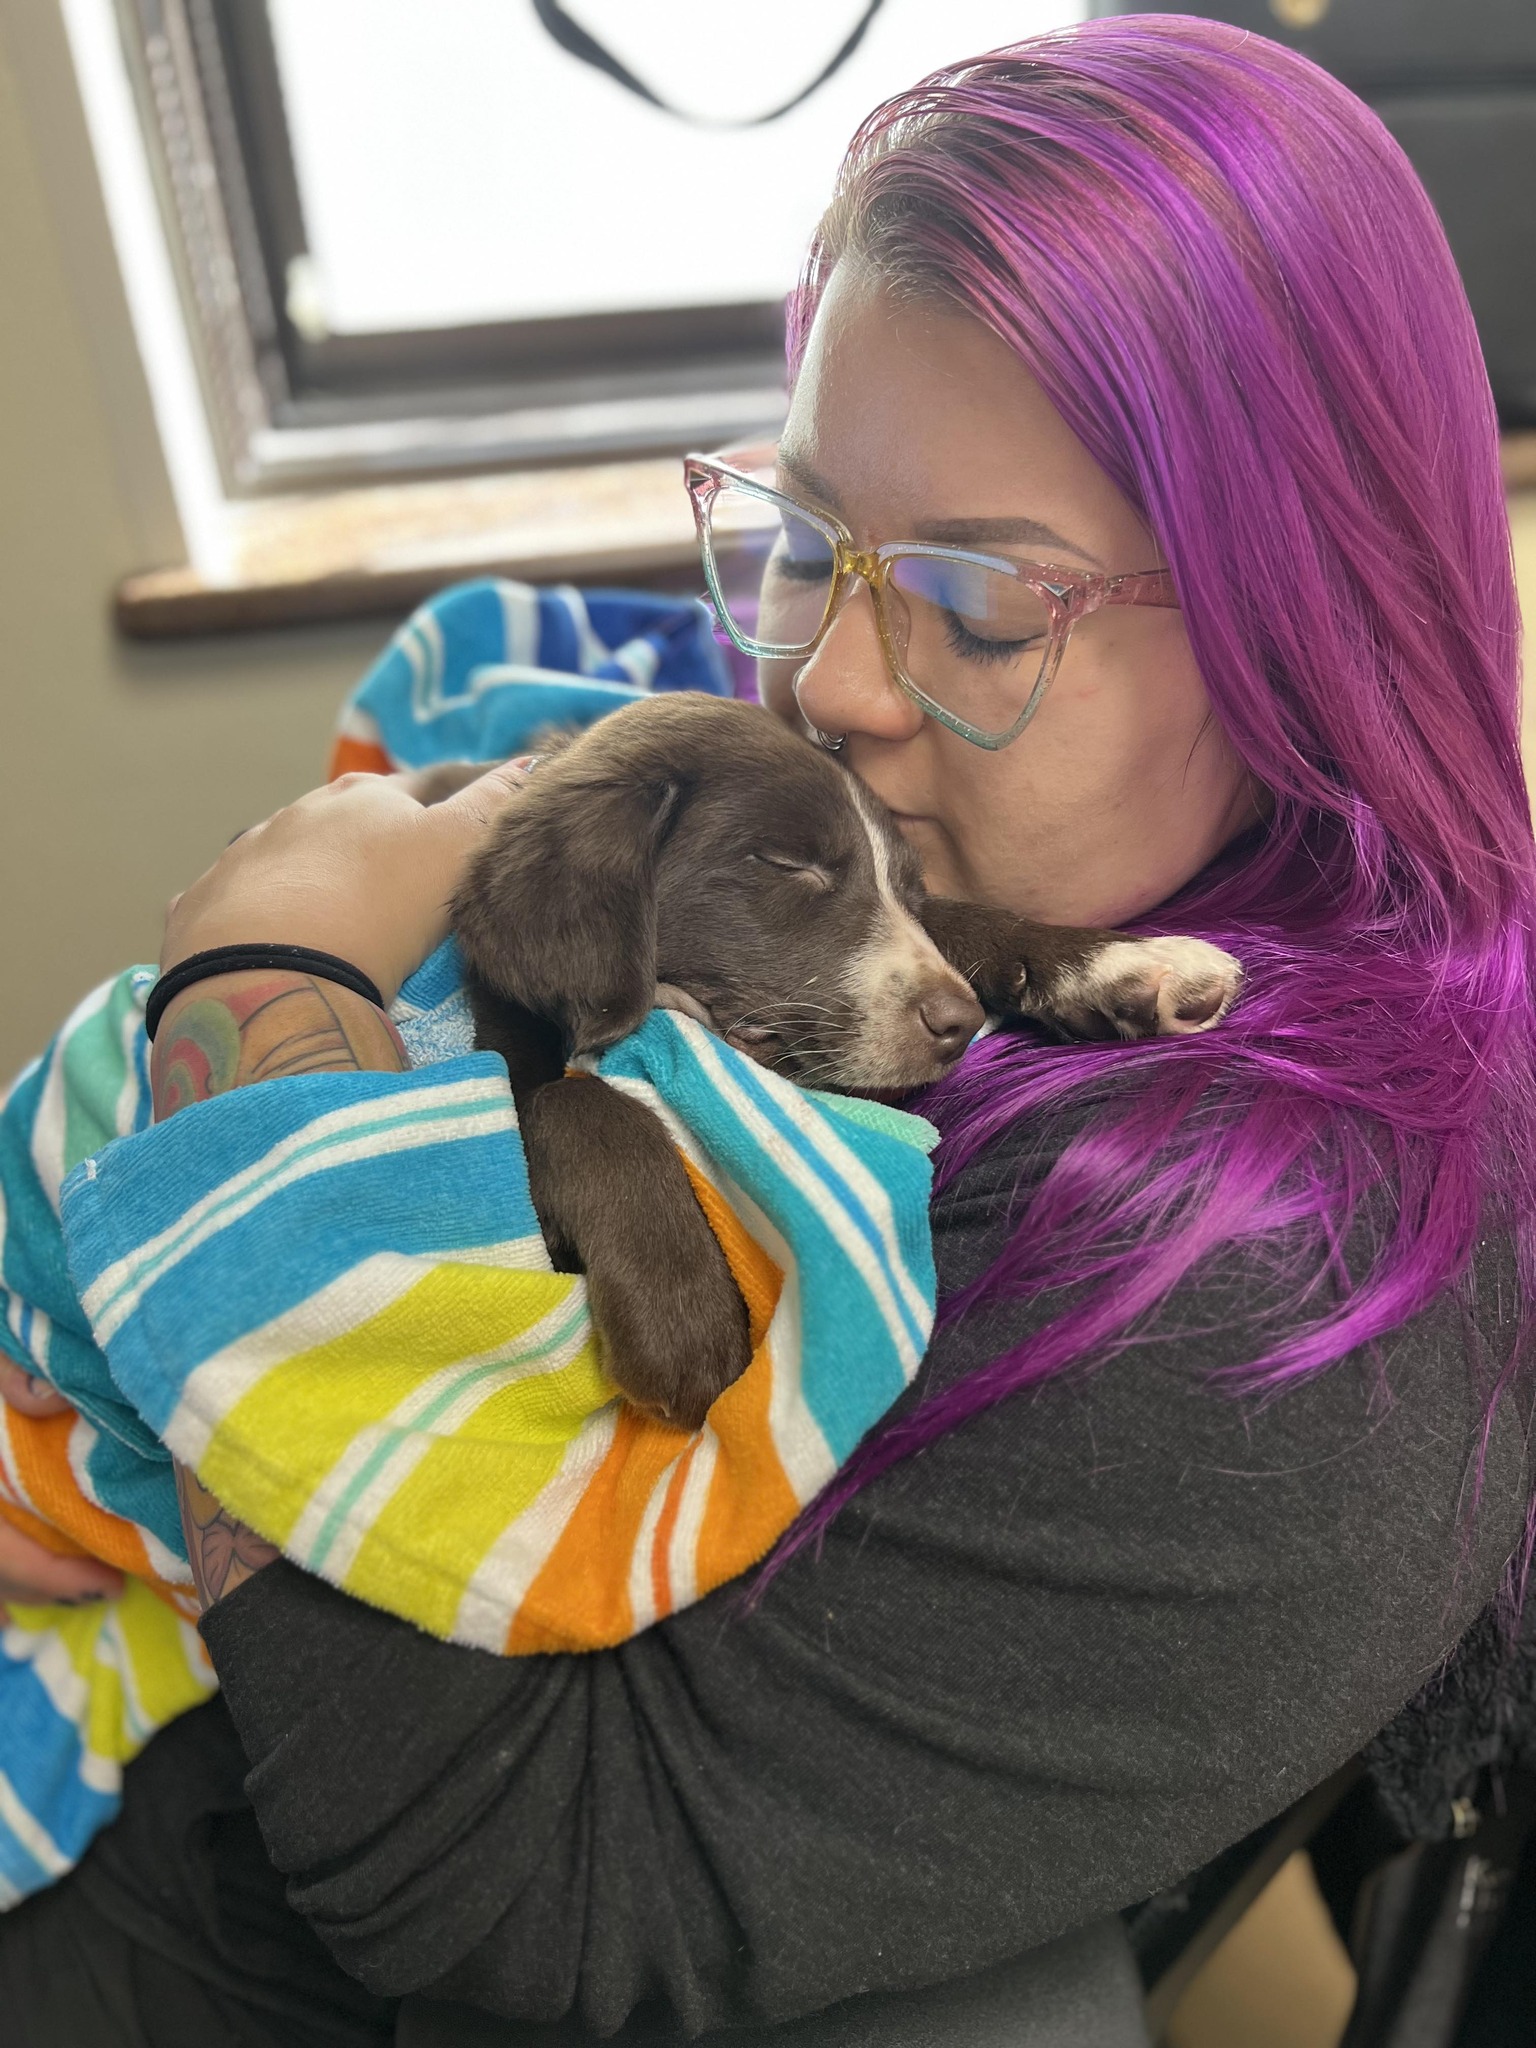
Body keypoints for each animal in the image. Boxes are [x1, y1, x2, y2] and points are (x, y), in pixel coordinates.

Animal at [450, 696, 1245, 1433]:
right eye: (787, 866)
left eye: (906, 881)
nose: (958, 1026)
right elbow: (572, 1102)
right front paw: (679, 1315)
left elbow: (953, 917)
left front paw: (1122, 963)